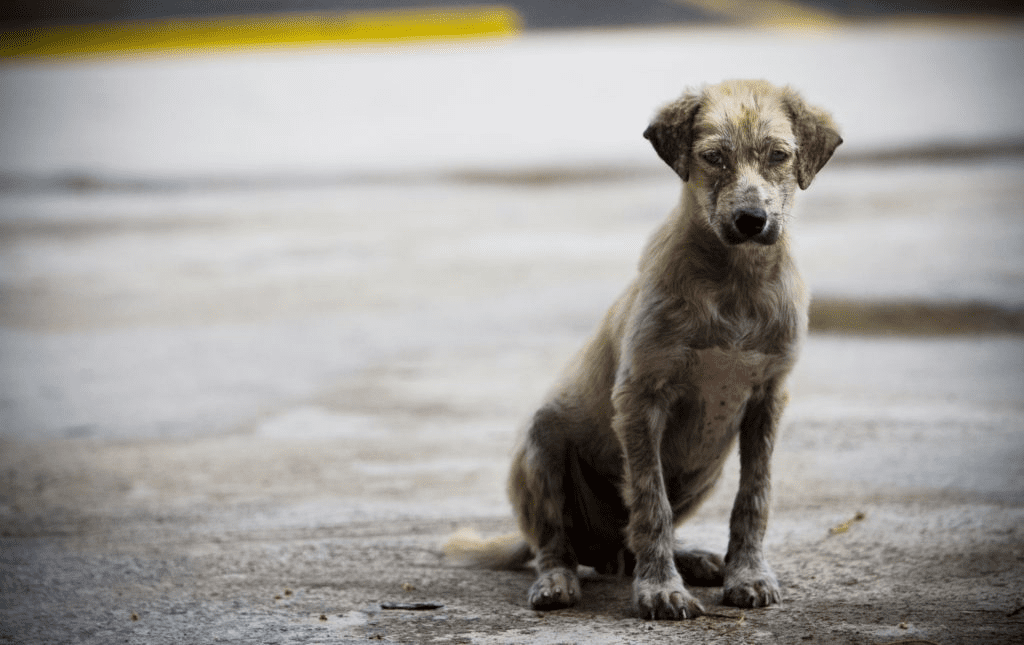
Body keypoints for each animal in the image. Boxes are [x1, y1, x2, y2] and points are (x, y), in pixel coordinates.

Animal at [446, 79, 839, 622]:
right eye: (713, 157)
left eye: (779, 155)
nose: (751, 221)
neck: (733, 282)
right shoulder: (641, 398)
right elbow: (652, 504)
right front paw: (660, 590)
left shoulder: (768, 398)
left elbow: (753, 496)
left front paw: (747, 575)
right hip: (542, 444)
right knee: (558, 541)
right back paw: (559, 580)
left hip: (705, 469)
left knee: (631, 542)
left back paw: (692, 558)